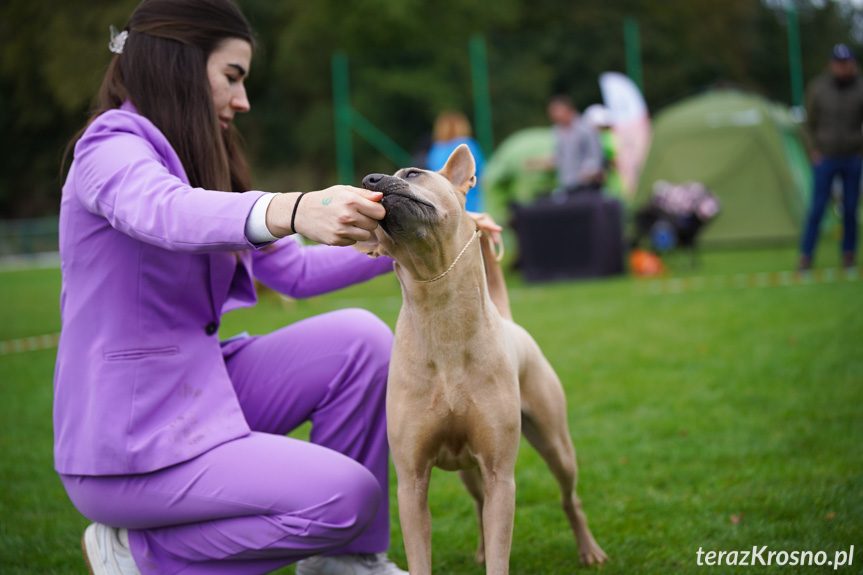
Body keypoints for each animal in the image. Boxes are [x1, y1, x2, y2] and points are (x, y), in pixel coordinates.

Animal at [358, 145, 608, 575]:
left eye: (413, 173)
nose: (368, 180)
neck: (440, 310)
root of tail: (509, 320)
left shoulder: (499, 475)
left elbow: (499, 550)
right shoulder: (411, 482)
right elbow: (421, 553)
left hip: (556, 445)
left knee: (569, 497)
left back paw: (588, 549)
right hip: (466, 470)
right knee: (477, 504)